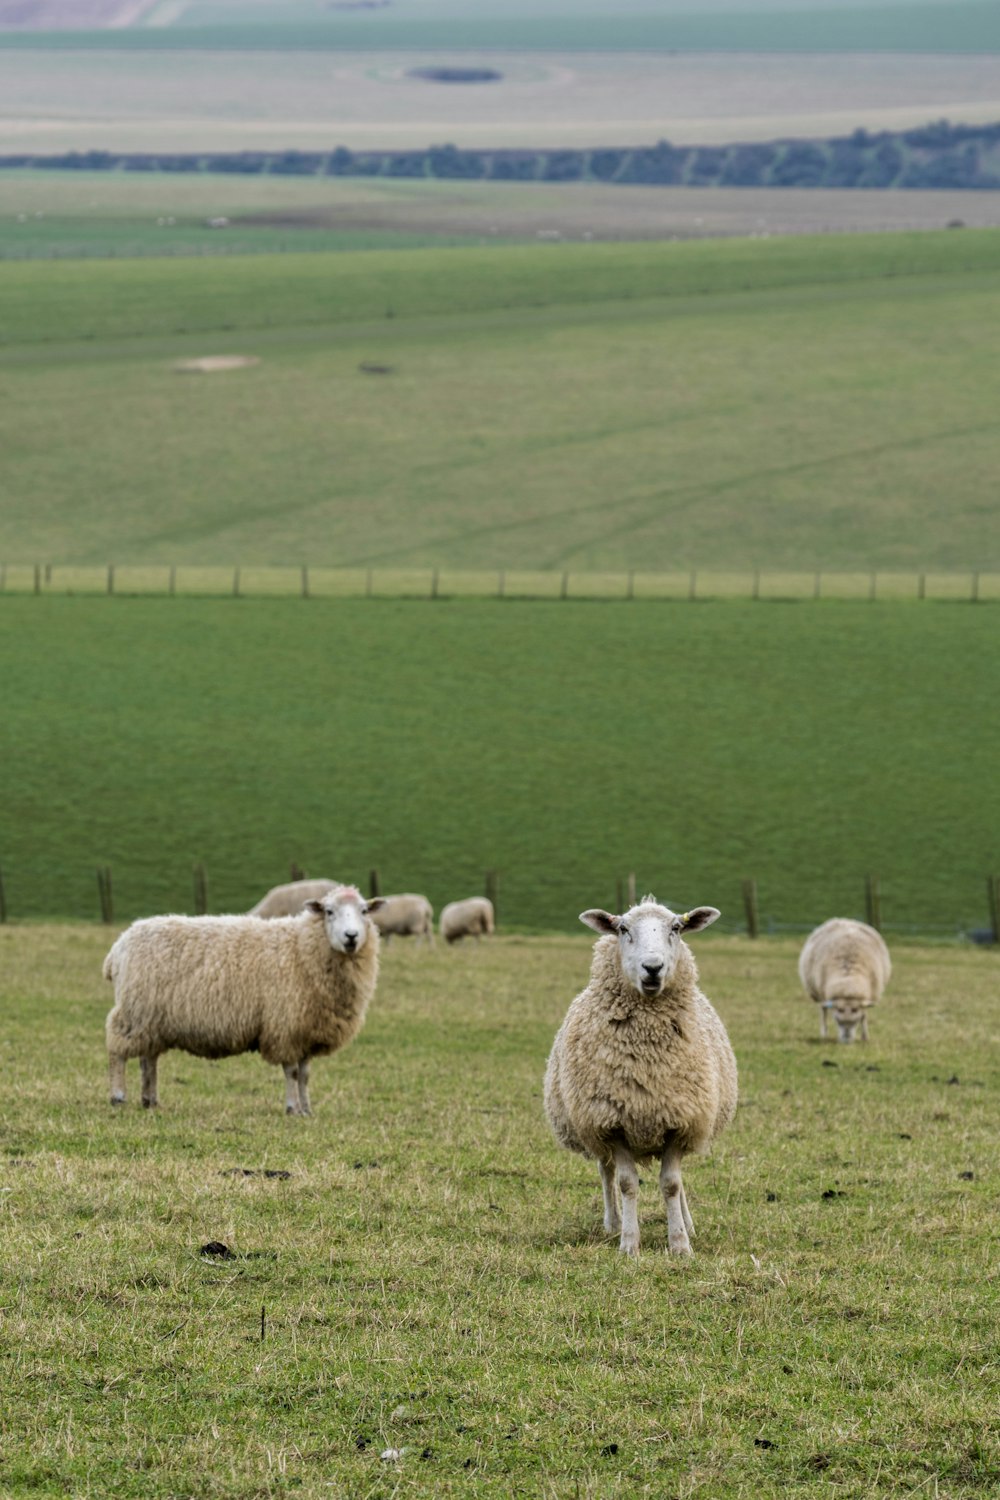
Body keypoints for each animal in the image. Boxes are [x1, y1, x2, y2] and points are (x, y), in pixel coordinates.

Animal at [104, 876, 386, 1116]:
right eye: (329, 912)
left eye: (364, 911)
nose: (351, 937)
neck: (302, 947)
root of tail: (119, 945)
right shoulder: (284, 1027)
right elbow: (292, 1073)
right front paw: (292, 1109)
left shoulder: (306, 1030)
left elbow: (305, 1075)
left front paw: (307, 1110)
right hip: (134, 1011)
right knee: (118, 1051)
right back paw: (118, 1096)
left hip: (151, 1018)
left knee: (148, 1059)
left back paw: (150, 1100)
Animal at [542, 894, 740, 1260]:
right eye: (623, 929)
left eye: (676, 928)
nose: (652, 968)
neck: (648, 1055)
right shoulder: (611, 1122)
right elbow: (626, 1183)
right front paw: (629, 1244)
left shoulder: (679, 1120)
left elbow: (672, 1183)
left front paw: (680, 1243)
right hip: (592, 1124)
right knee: (605, 1171)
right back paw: (613, 1223)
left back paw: (687, 1222)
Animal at [797, 912, 893, 1044]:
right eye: (837, 1019)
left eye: (855, 1018)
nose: (846, 1040)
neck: (848, 982)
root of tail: (845, 920)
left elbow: (864, 1016)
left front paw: (865, 1037)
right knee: (823, 1011)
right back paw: (824, 1034)